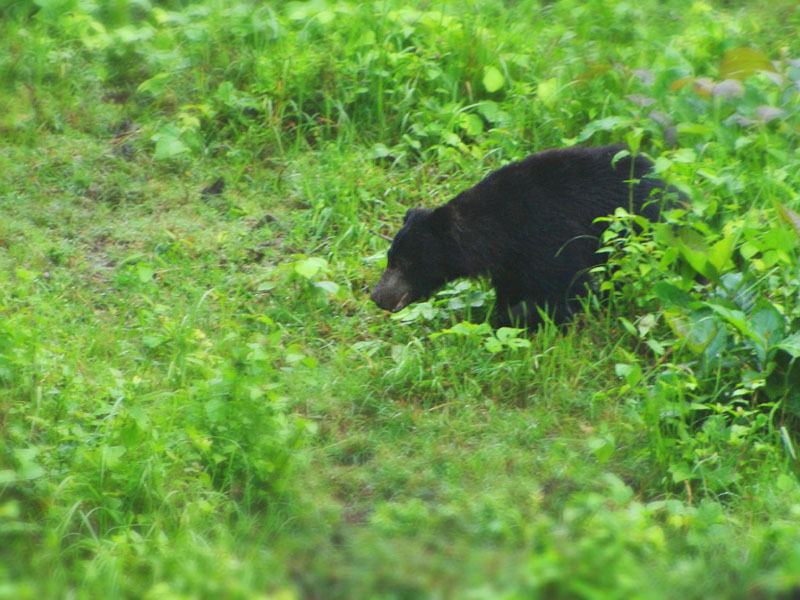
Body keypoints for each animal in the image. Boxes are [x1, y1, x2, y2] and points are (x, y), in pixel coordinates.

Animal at [370, 144, 668, 328]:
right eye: (390, 257)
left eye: (406, 262)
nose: (377, 296)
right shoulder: (511, 263)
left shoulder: (550, 237)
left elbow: (570, 289)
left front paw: (515, 318)